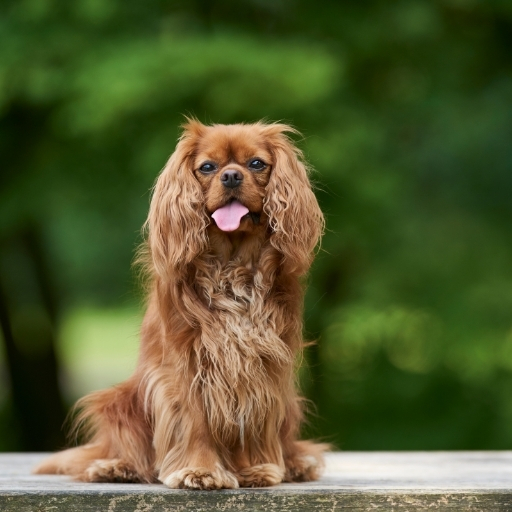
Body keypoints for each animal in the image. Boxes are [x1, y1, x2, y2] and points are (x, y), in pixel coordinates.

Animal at [36, 118, 326, 490]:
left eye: (256, 164)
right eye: (208, 167)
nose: (231, 176)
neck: (232, 266)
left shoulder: (261, 363)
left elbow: (253, 416)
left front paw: (255, 468)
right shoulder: (187, 363)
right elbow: (195, 421)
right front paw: (200, 470)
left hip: (289, 406)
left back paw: (294, 463)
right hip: (120, 402)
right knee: (130, 451)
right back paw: (115, 466)